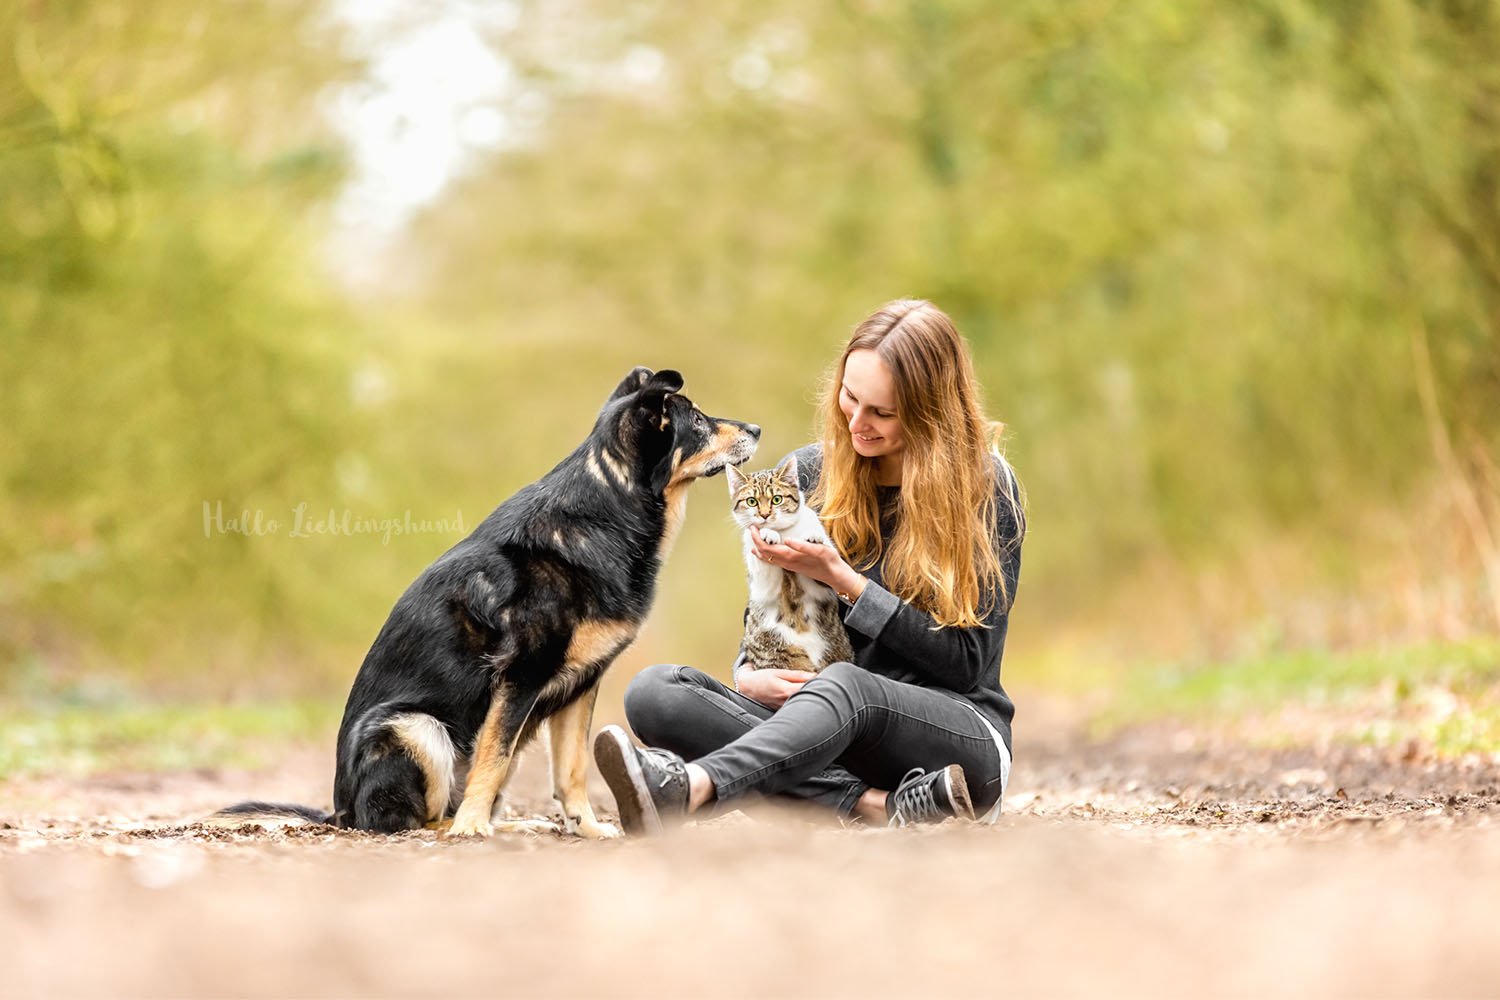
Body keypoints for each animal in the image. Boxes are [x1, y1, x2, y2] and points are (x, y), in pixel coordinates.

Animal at [219, 367, 762, 839]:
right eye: (698, 420)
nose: (757, 428)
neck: (608, 508)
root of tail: (341, 812)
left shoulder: (581, 685)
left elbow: (572, 770)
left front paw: (587, 828)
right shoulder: (520, 676)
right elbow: (492, 759)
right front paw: (473, 828)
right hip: (415, 729)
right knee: (410, 821)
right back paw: (463, 827)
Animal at [726, 458, 858, 677]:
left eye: (777, 499)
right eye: (752, 501)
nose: (765, 515)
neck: (785, 532)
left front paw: (813, 537)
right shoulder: (762, 580)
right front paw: (768, 534)